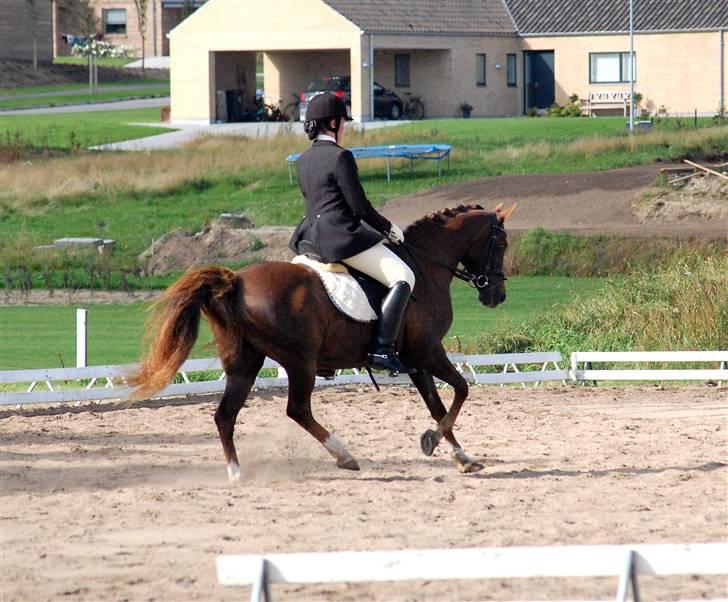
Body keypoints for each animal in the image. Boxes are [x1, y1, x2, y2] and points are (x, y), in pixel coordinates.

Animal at [129, 204, 512, 480]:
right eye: (503, 244)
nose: (497, 295)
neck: (427, 267)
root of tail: (235, 281)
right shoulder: (428, 351)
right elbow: (461, 390)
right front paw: (433, 441)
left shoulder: (416, 361)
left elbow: (437, 404)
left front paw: (462, 457)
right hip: (301, 361)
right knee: (297, 409)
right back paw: (344, 456)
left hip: (244, 363)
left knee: (226, 415)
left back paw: (237, 474)